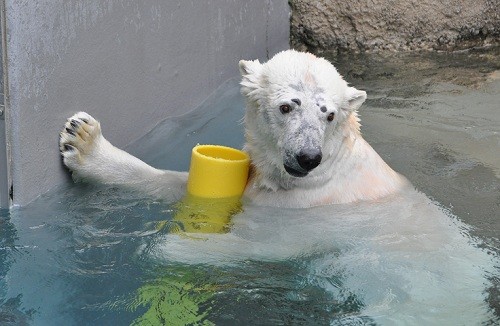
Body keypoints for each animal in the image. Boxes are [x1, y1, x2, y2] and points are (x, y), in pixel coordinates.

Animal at [58, 50, 496, 324]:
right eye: (288, 106)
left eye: (329, 115)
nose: (308, 157)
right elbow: (181, 185)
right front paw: (83, 142)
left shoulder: (315, 210)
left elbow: (264, 244)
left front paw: (171, 246)